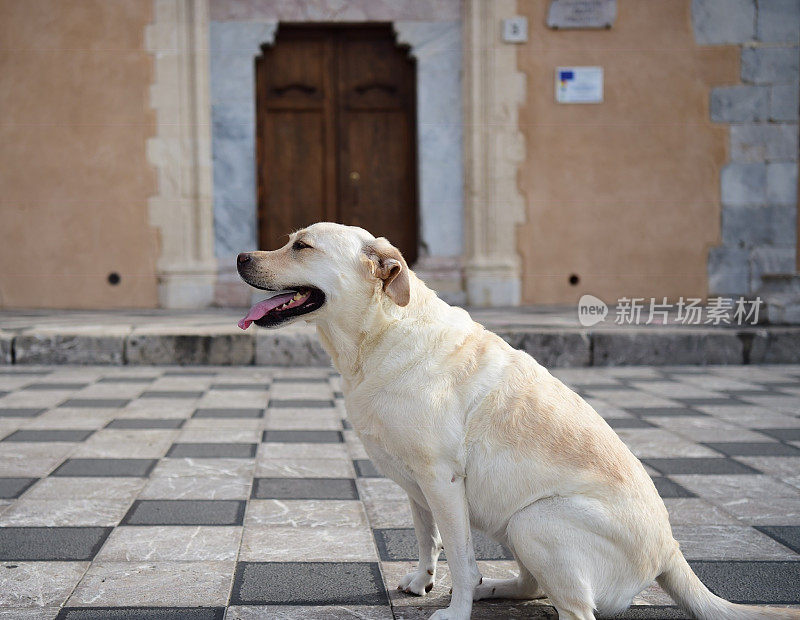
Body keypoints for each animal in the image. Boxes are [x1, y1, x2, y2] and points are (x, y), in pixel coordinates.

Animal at [236, 223, 792, 620]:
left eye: (301, 246)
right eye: (289, 240)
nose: (241, 257)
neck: (381, 334)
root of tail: (671, 551)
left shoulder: (442, 480)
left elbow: (460, 557)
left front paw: (454, 611)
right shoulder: (416, 486)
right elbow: (427, 538)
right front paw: (422, 583)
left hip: (534, 520)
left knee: (575, 610)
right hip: (511, 521)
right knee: (530, 585)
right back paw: (492, 589)